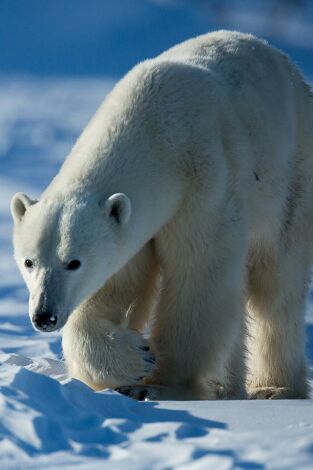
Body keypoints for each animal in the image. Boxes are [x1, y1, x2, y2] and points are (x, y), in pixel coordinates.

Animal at [9, 30, 312, 400]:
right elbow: (117, 286)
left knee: (277, 284)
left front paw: (163, 384)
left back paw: (274, 387)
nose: (44, 316)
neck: (155, 129)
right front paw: (135, 359)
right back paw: (229, 385)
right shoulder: (135, 225)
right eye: (29, 262)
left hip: (290, 175)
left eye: (74, 262)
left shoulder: (206, 180)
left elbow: (200, 273)